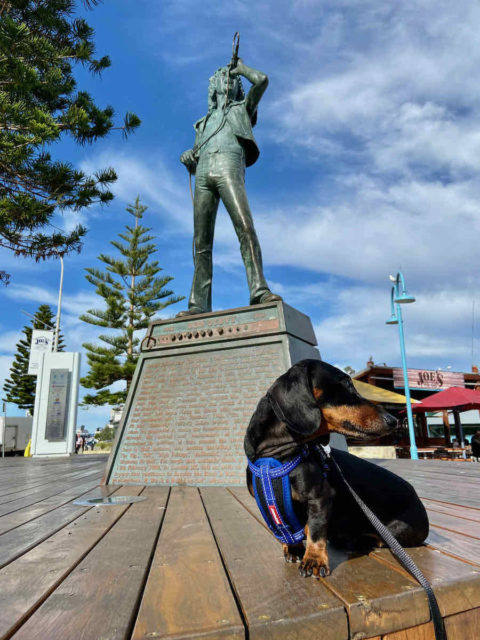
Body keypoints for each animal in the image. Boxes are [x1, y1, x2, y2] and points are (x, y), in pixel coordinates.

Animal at [244, 360, 428, 580]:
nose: (393, 420)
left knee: (381, 538)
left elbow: (315, 530)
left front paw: (313, 560)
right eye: (347, 385)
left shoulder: (320, 497)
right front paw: (294, 549)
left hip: (396, 530)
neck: (275, 456)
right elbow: (285, 530)